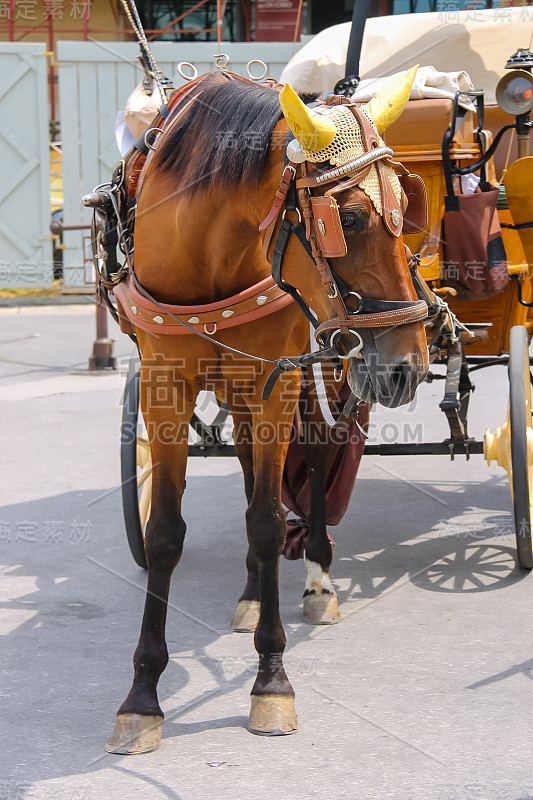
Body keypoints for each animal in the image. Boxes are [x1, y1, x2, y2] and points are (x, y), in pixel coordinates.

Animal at [107, 67, 428, 752]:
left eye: (406, 203)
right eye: (349, 217)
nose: (408, 366)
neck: (209, 245)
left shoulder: (276, 381)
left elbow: (266, 521)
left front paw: (272, 681)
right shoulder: (163, 383)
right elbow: (165, 532)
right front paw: (142, 696)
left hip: (319, 365)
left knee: (311, 459)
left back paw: (317, 578)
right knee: (252, 467)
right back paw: (256, 590)